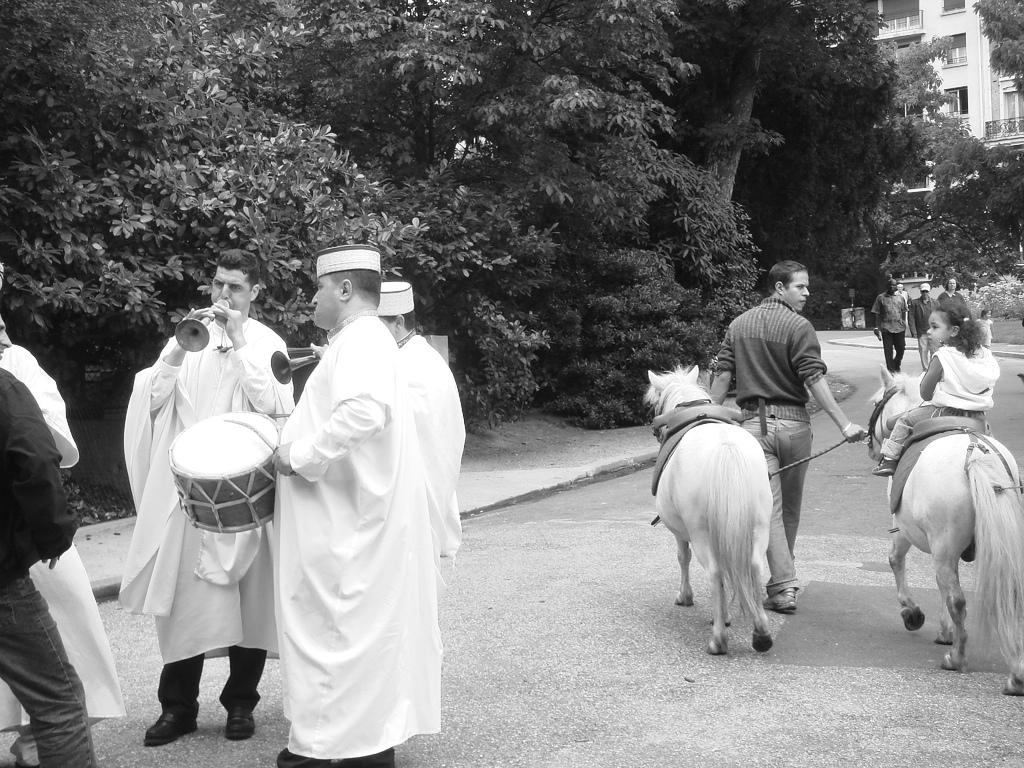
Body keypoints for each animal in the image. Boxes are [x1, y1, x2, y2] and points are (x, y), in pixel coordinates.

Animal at [643, 366, 770, 655]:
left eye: (654, 403)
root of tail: (726, 448)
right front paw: (723, 615)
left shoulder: (680, 532)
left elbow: (683, 558)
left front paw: (686, 596)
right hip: (760, 526)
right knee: (755, 566)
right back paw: (761, 634)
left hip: (700, 533)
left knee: (714, 573)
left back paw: (718, 640)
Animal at [868, 368, 1024, 696]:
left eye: (877, 402)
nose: (872, 446)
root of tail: (976, 455)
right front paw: (945, 630)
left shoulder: (906, 531)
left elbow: (896, 561)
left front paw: (913, 613)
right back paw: (1016, 674)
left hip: (944, 546)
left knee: (957, 599)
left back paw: (957, 658)